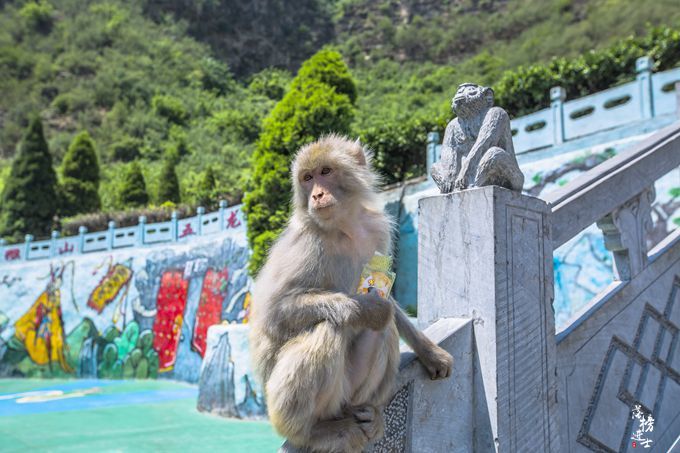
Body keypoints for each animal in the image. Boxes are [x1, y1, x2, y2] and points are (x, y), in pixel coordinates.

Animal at [248, 135, 452, 452]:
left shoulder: (376, 231)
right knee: (328, 326)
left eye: (325, 171)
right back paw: (312, 432)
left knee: (385, 330)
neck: (345, 227)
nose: (317, 195)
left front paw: (430, 353)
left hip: (350, 392)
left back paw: (369, 413)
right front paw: (367, 308)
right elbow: (275, 311)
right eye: (307, 178)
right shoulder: (306, 244)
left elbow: (390, 302)